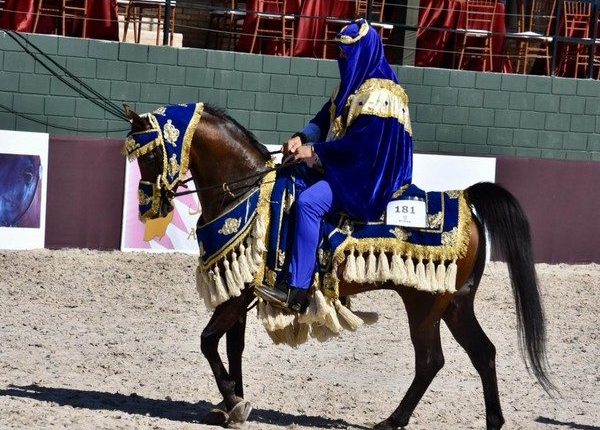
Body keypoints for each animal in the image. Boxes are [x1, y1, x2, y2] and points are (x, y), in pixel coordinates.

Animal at [124, 102, 552, 428]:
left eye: (150, 155)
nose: (148, 207)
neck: (247, 189)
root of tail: (465, 199)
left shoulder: (237, 295)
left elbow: (209, 341)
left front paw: (234, 400)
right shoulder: (240, 289)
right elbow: (233, 347)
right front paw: (233, 405)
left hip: (425, 305)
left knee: (431, 360)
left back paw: (392, 421)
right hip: (456, 303)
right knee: (483, 353)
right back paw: (491, 421)